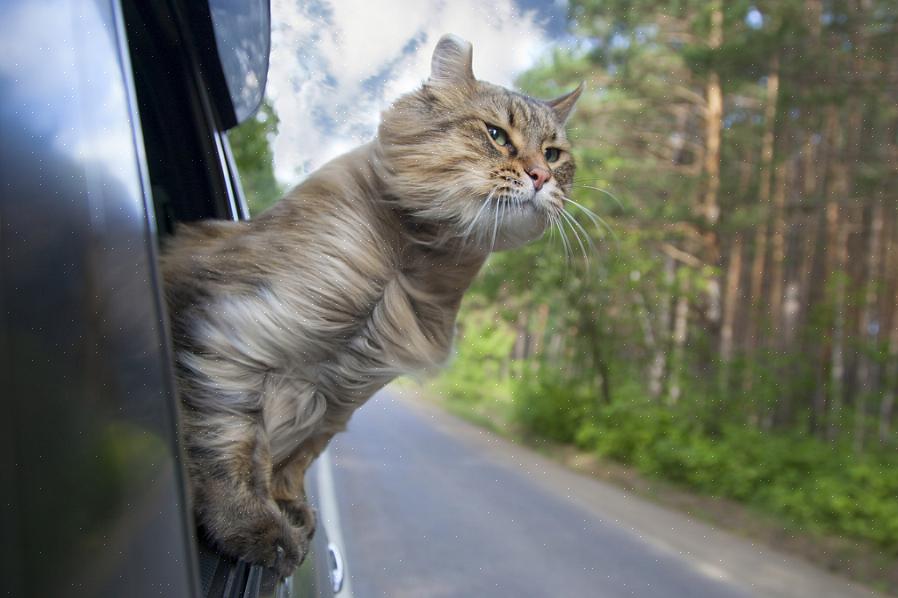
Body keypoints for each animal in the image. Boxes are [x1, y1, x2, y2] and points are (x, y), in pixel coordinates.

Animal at [161, 35, 580, 580]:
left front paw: (288, 506)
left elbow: (296, 457)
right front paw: (255, 525)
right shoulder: (234, 336)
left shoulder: (343, 394)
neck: (408, 265)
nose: (541, 175)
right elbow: (230, 443)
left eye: (554, 153)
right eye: (497, 136)